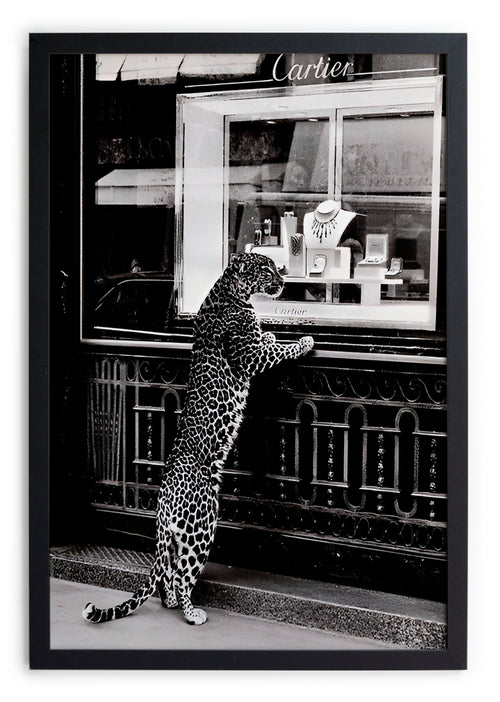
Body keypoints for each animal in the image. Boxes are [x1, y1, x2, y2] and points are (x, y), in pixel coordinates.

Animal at [82, 252, 314, 626]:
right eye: (266, 268)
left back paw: (173, 602)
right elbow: (278, 350)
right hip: (200, 528)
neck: (231, 292)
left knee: (168, 574)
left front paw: (272, 333)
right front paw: (302, 342)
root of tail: (163, 503)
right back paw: (192, 613)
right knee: (182, 574)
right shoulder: (250, 357)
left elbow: (267, 340)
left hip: (176, 538)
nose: (283, 282)